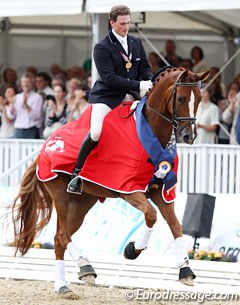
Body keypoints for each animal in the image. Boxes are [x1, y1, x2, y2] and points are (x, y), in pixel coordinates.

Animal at [11, 67, 208, 294]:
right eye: (182, 98)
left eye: (199, 99)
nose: (188, 136)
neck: (149, 132)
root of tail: (46, 145)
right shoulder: (129, 189)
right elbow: (151, 215)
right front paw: (133, 249)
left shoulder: (162, 191)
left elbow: (176, 225)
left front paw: (185, 270)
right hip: (60, 194)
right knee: (61, 236)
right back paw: (85, 266)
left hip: (81, 203)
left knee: (61, 237)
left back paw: (63, 286)